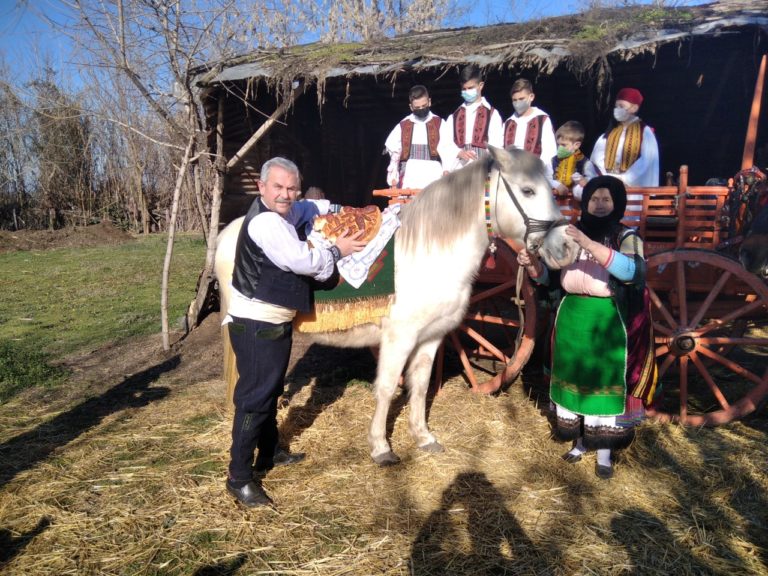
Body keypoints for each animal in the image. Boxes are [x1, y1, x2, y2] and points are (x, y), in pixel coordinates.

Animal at [214, 146, 576, 466]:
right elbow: (387, 389)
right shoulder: (398, 339)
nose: (567, 246)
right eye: (527, 190)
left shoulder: (432, 338)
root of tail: (230, 231)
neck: (429, 252)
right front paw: (380, 447)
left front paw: (424, 437)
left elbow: (420, 385)